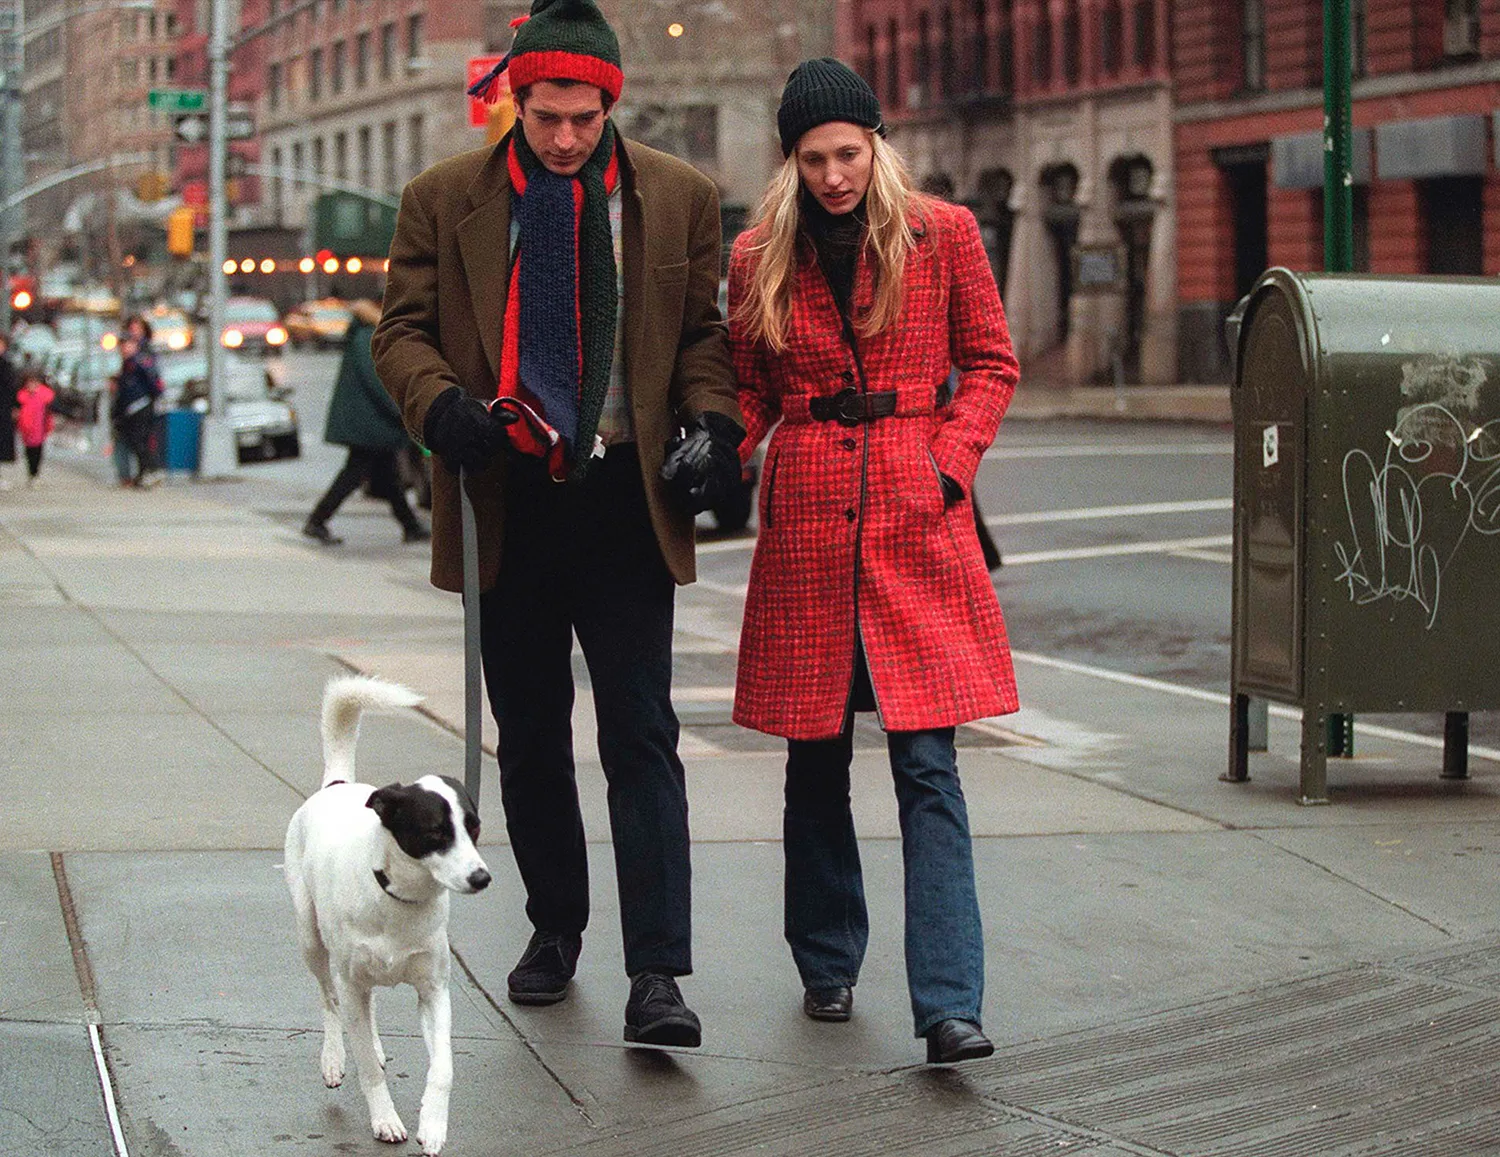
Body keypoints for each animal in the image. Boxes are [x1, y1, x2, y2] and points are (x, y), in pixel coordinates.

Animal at [282, 675, 492, 1152]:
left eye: (473, 828)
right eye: (436, 832)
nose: (482, 878)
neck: (400, 899)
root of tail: (337, 784)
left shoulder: (434, 991)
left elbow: (444, 1067)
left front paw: (432, 1125)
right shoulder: (350, 979)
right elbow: (366, 1066)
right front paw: (384, 1119)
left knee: (366, 1007)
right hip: (310, 939)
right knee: (330, 999)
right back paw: (333, 1058)